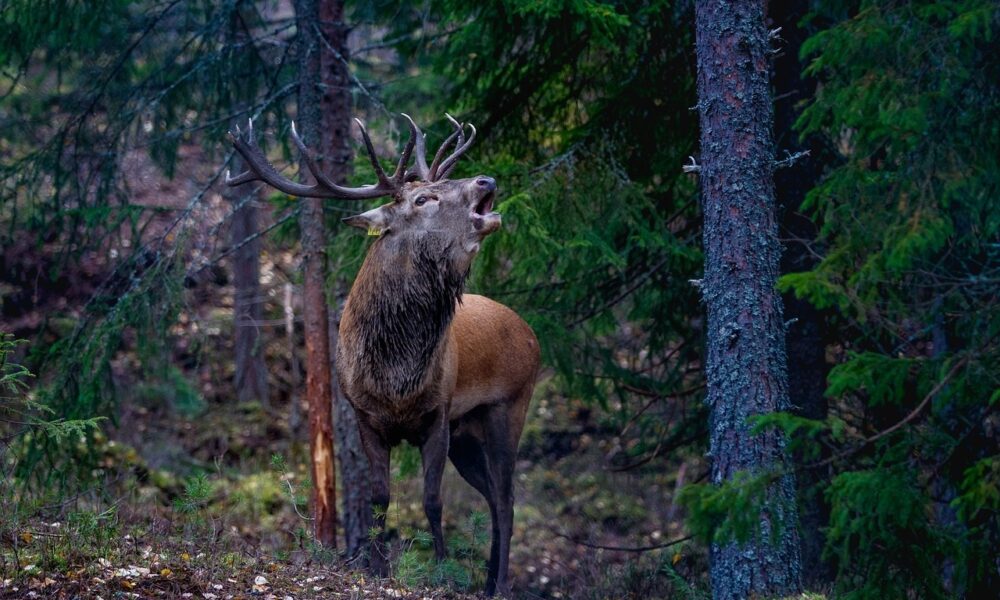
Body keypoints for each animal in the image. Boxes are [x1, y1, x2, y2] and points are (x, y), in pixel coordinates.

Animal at [227, 112, 540, 596]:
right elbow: (379, 499)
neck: (395, 379)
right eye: (424, 198)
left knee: (506, 499)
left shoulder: (438, 415)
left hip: (509, 406)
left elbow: (431, 500)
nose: (486, 179)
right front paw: (375, 569)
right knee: (492, 497)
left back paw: (501, 585)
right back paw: (489, 581)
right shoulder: (366, 418)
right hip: (468, 433)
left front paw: (441, 571)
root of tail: (531, 334)